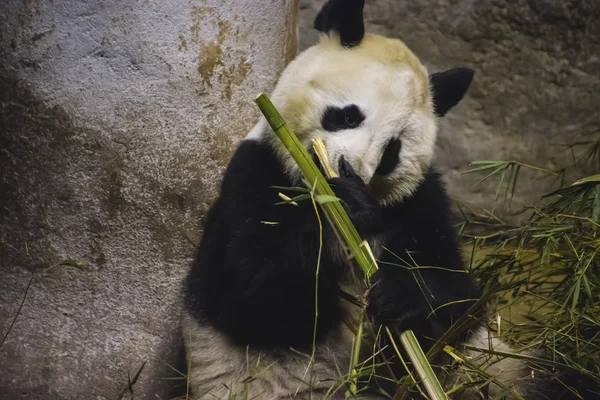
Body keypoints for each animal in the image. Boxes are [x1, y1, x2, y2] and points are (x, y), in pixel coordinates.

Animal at [182, 0, 596, 400]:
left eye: (392, 151)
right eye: (348, 115)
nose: (348, 171)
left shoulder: (419, 202)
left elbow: (456, 301)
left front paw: (399, 294)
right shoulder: (255, 176)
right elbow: (257, 296)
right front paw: (341, 208)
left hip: (494, 370)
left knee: (555, 378)